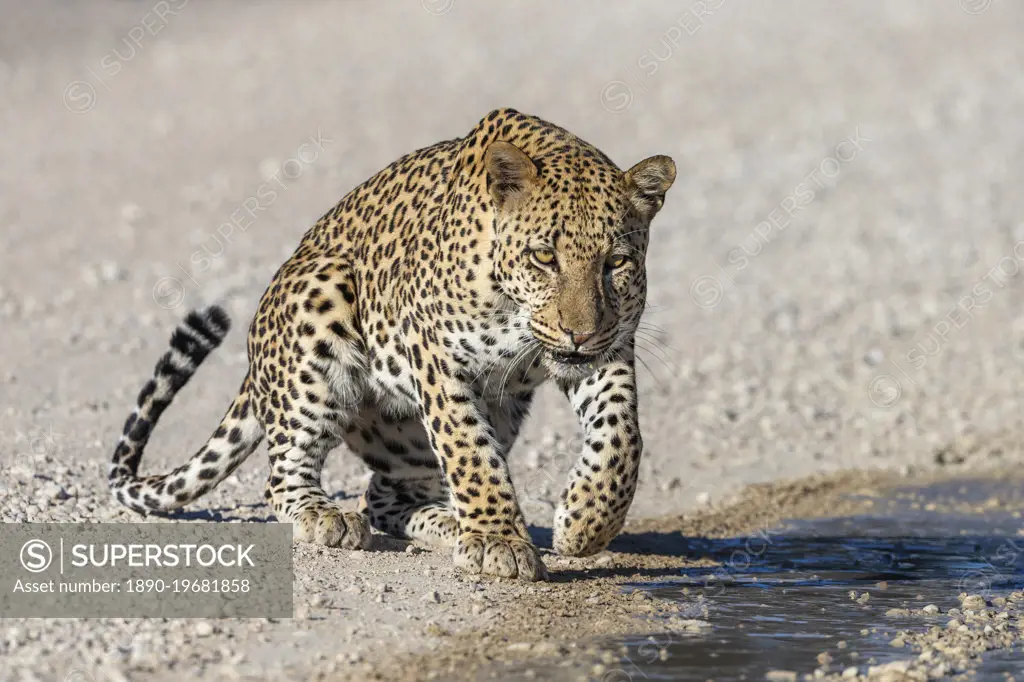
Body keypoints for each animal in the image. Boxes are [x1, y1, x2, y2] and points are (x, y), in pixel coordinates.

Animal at [110, 107, 671, 577]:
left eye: (616, 262)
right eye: (544, 257)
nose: (579, 332)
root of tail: (255, 362)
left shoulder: (610, 348)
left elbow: (623, 436)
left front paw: (584, 523)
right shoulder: (437, 357)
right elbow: (469, 451)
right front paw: (499, 540)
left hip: (463, 419)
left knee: (382, 497)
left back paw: (448, 523)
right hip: (321, 299)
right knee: (288, 475)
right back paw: (327, 517)